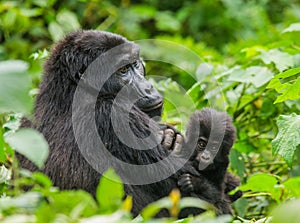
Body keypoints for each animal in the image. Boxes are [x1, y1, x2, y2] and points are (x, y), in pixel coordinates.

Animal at [18, 29, 197, 216]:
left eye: (135, 64)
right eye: (123, 70)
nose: (148, 88)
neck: (69, 91)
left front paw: (172, 136)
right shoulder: (115, 115)